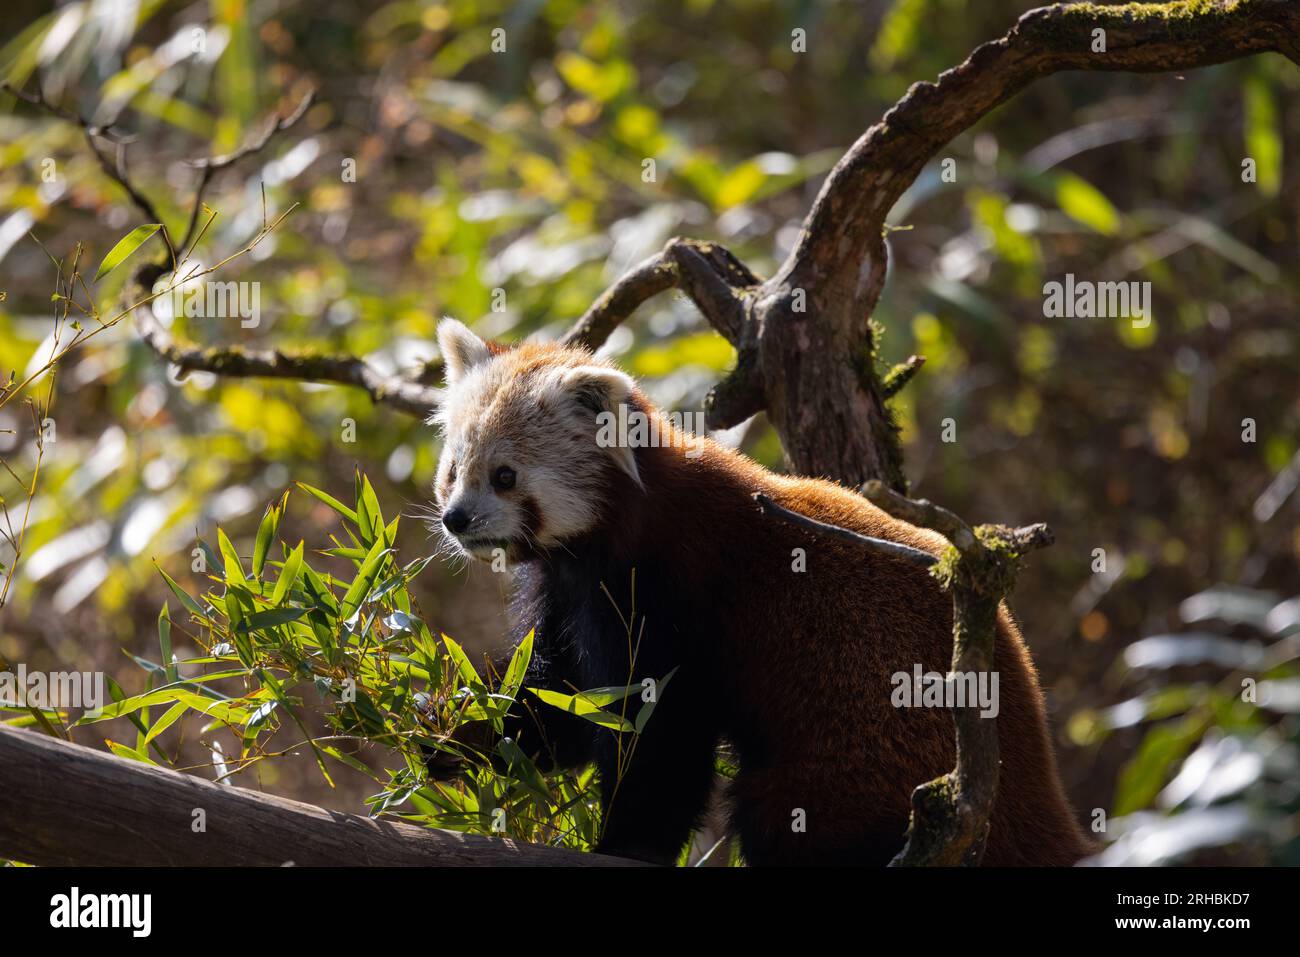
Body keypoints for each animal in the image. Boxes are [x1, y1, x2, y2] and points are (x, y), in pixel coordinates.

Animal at [431, 317, 1092, 863]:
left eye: (505, 476)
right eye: (453, 471)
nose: (456, 520)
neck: (614, 531)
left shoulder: (669, 592)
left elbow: (658, 734)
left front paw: (628, 844)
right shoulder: (567, 592)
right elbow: (555, 697)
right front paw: (449, 731)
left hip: (856, 766)